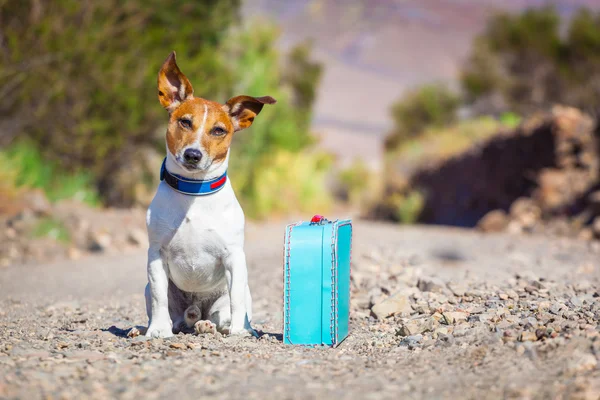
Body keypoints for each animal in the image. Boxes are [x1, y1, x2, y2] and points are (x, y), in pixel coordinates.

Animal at [144, 50, 276, 338]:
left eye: (218, 130)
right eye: (185, 122)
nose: (193, 154)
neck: (194, 192)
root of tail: (196, 310)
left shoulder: (234, 257)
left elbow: (236, 299)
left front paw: (239, 331)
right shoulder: (156, 254)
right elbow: (159, 297)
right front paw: (156, 330)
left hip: (232, 296)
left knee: (221, 314)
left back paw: (212, 325)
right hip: (155, 292)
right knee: (175, 317)